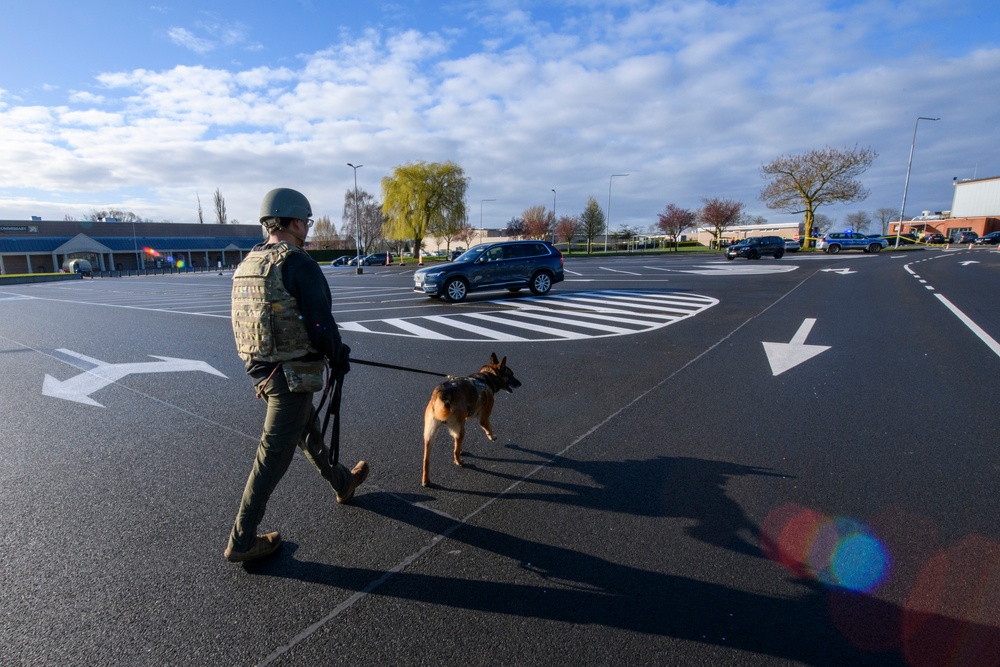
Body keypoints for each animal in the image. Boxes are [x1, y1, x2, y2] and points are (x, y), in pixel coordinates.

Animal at [422, 352, 524, 488]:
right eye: (511, 375)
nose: (520, 383)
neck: (487, 377)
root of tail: (442, 393)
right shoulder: (484, 417)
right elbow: (487, 427)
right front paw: (492, 437)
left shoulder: (463, 420)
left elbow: (457, 443)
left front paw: (462, 448)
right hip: (460, 430)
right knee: (454, 451)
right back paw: (459, 462)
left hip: (430, 435)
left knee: (426, 459)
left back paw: (426, 480)